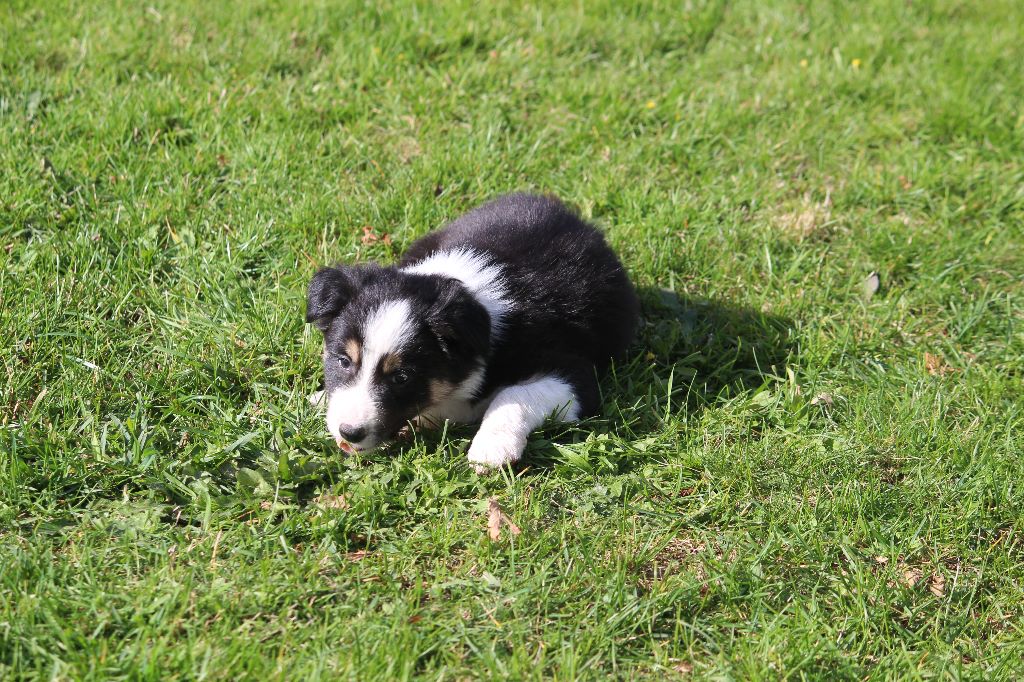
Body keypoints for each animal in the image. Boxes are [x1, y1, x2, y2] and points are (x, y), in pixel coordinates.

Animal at [306, 193, 639, 472]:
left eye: (401, 377)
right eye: (344, 361)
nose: (349, 432)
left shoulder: (576, 374)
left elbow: (514, 392)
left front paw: (492, 447)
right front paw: (323, 398)